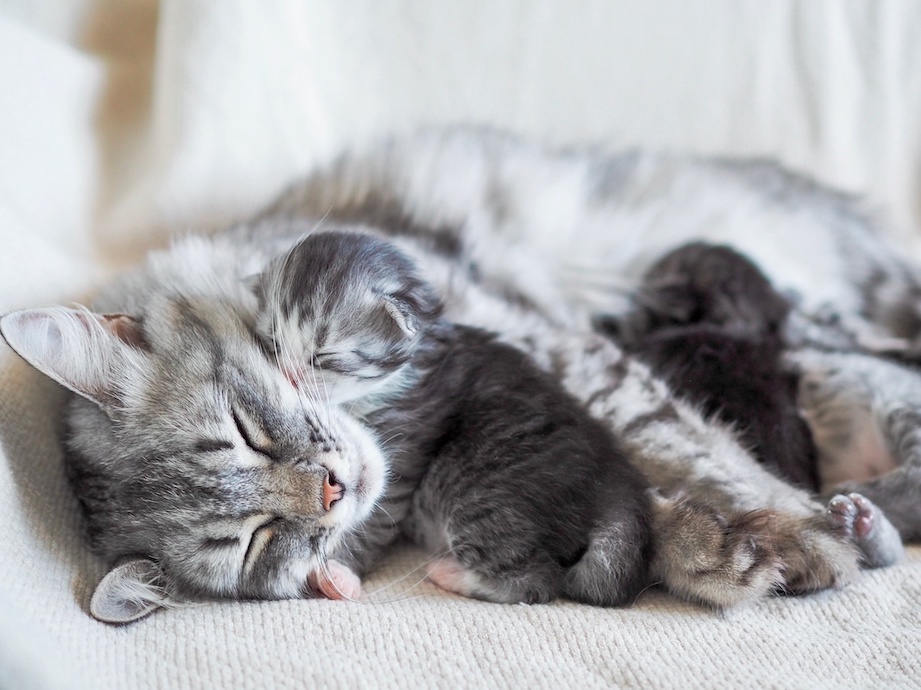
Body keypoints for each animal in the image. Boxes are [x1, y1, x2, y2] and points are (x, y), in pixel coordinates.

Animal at [253, 230, 656, 600]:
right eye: (273, 342)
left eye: (322, 357)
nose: (288, 377)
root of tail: (617, 485)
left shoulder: (402, 447)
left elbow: (372, 516)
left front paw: (341, 571)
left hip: (480, 494)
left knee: (537, 583)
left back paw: (452, 574)